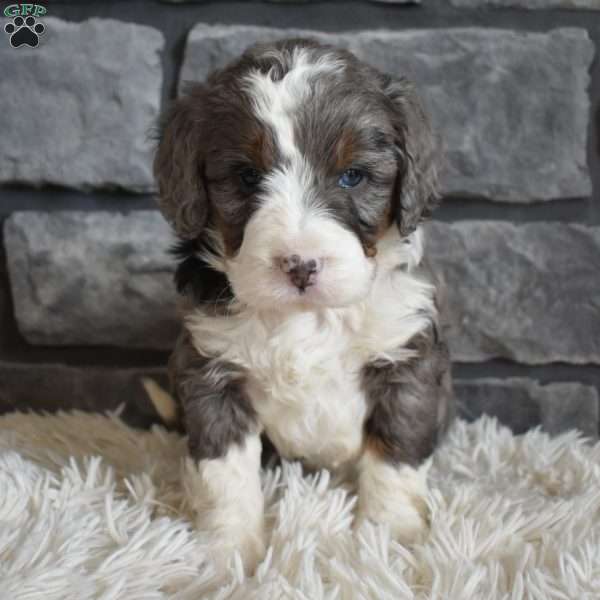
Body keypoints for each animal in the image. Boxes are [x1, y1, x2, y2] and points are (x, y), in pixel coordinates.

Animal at [152, 37, 452, 572]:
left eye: (353, 176)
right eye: (247, 177)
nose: (300, 265)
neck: (309, 319)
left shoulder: (406, 362)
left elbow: (395, 456)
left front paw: (387, 542)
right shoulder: (210, 373)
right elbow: (225, 475)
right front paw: (228, 553)